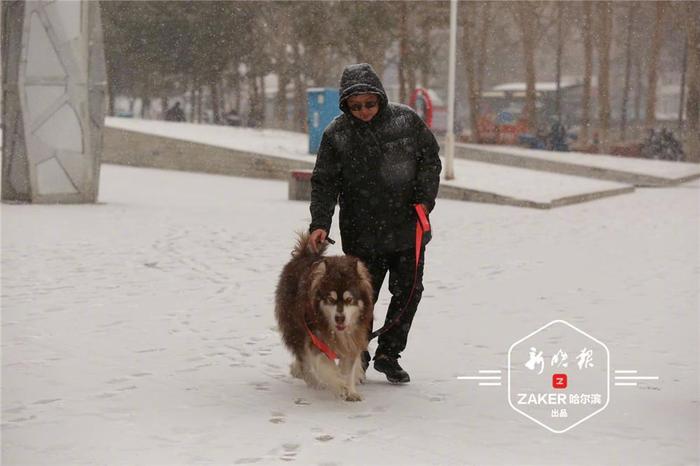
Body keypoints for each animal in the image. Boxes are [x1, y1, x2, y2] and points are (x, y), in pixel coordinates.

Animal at [274, 233, 374, 400]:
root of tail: (304, 255)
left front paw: (351, 390)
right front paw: (339, 384)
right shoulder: (317, 340)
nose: (339, 318)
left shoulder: (353, 339)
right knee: (304, 360)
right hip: (296, 328)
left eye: (349, 300)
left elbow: (349, 369)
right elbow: (326, 365)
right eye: (331, 300)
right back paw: (313, 381)